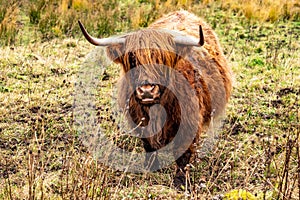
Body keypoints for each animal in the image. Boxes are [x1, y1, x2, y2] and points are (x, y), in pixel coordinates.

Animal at [78, 9, 232, 188]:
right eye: (132, 58)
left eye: (163, 58)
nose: (147, 91)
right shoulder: (140, 121)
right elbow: (149, 147)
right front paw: (150, 169)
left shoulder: (189, 123)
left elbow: (184, 154)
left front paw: (180, 182)